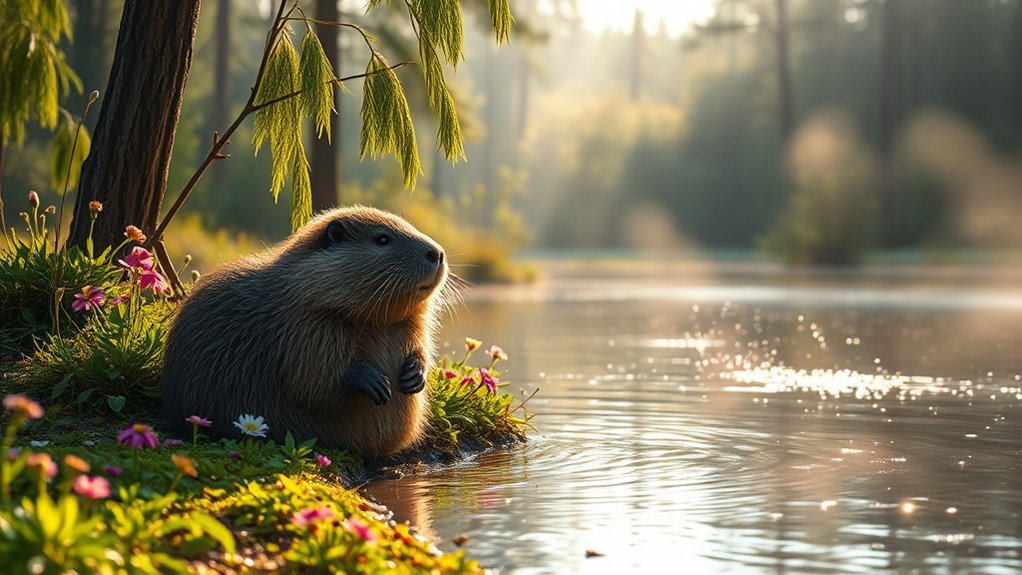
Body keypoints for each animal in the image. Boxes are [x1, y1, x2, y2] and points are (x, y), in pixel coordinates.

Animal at [162, 207, 455, 459]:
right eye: (382, 239)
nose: (437, 253)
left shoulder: (413, 324)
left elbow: (421, 348)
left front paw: (415, 375)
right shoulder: (302, 324)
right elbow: (312, 377)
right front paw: (375, 382)